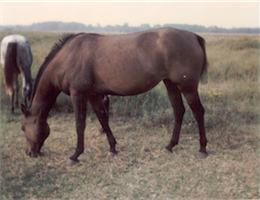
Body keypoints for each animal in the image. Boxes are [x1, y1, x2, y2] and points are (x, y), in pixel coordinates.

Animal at [21, 28, 208, 166]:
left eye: (23, 128)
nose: (29, 153)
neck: (67, 58)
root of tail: (193, 36)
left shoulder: (78, 95)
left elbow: (80, 125)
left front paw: (75, 155)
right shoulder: (93, 95)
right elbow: (103, 119)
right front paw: (112, 148)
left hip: (188, 87)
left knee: (198, 112)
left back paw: (202, 149)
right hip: (171, 84)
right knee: (179, 111)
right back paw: (170, 146)